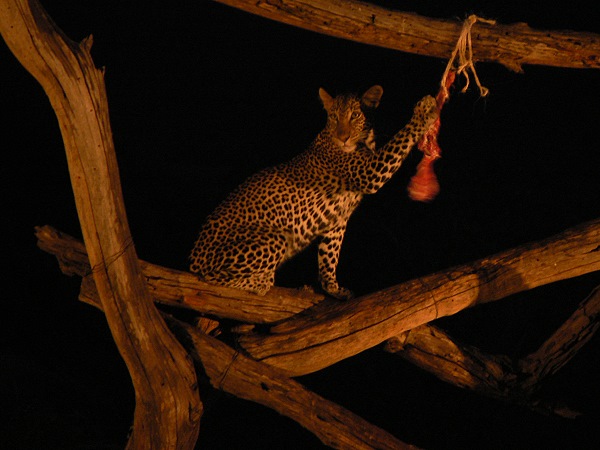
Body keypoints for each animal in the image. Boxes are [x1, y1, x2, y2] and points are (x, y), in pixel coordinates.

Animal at [190, 86, 438, 300]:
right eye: (334, 117)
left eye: (355, 115)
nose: (343, 137)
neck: (366, 142)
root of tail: (194, 255)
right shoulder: (370, 172)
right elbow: (401, 138)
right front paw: (424, 111)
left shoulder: (338, 220)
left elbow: (329, 255)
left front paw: (333, 289)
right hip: (273, 238)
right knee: (208, 277)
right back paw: (260, 282)